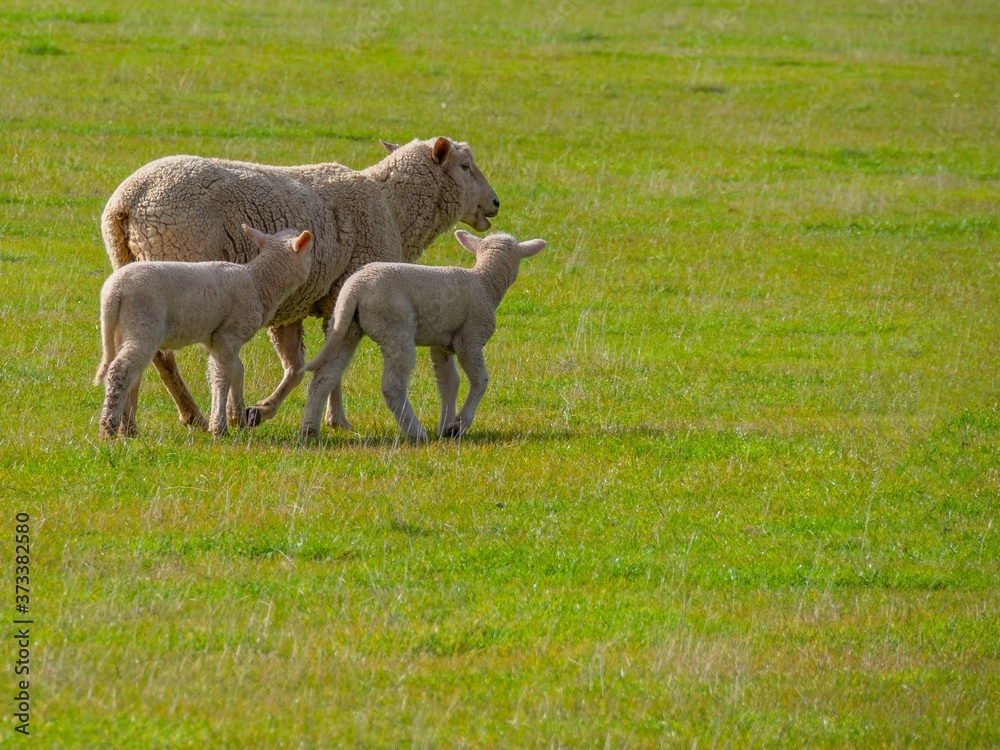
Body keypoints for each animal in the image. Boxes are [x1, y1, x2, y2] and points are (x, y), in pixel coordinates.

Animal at [94, 225, 313, 438]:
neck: (258, 283)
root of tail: (113, 292)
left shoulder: (216, 339)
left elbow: (237, 370)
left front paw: (237, 417)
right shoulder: (229, 334)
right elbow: (222, 376)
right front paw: (219, 427)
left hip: (121, 329)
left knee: (130, 373)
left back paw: (128, 429)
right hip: (143, 322)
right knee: (120, 369)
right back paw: (108, 429)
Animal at [300, 230, 547, 443]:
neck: (484, 283)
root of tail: (355, 288)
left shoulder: (442, 344)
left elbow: (449, 382)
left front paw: (445, 427)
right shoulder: (470, 338)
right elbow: (480, 379)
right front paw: (459, 424)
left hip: (345, 325)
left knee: (324, 376)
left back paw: (309, 430)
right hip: (395, 328)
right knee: (392, 386)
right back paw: (415, 432)